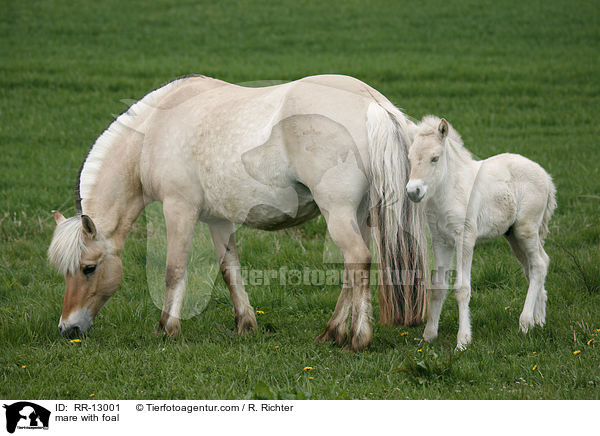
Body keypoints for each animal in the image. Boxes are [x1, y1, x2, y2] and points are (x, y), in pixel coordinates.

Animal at [49, 74, 428, 350]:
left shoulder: (179, 209)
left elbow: (174, 270)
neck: (154, 129)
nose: (68, 328)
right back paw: (331, 332)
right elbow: (229, 269)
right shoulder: (218, 219)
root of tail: (373, 103)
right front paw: (245, 324)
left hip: (338, 214)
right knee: (354, 270)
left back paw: (357, 339)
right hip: (360, 217)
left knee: (358, 260)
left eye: (88, 268)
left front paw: (166, 329)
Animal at [406, 116, 556, 350]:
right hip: (513, 235)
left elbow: (462, 289)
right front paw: (428, 335)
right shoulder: (441, 240)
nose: (413, 191)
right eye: (410, 158)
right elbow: (438, 286)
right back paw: (539, 320)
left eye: (435, 158)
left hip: (526, 228)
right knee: (535, 265)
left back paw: (525, 323)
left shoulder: (465, 237)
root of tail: (545, 176)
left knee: (539, 264)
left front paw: (463, 341)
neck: (449, 189)